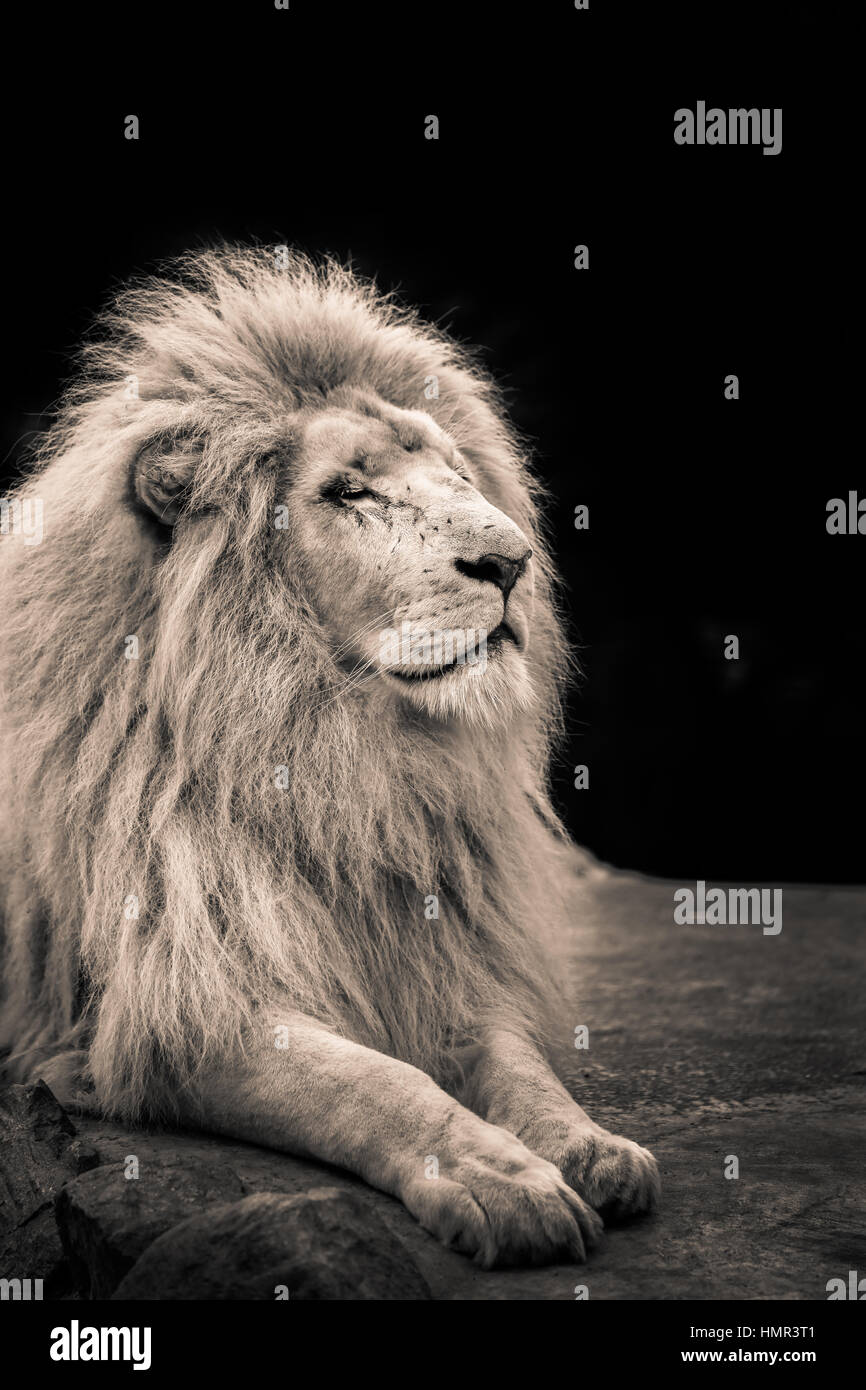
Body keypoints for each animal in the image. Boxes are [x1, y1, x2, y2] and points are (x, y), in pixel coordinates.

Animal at [0, 247, 658, 1269]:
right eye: (349, 492)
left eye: (460, 475)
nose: (512, 562)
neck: (341, 761)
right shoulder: (177, 1012)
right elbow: (375, 1086)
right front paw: (500, 1180)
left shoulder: (444, 952)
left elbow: (520, 1066)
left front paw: (588, 1146)